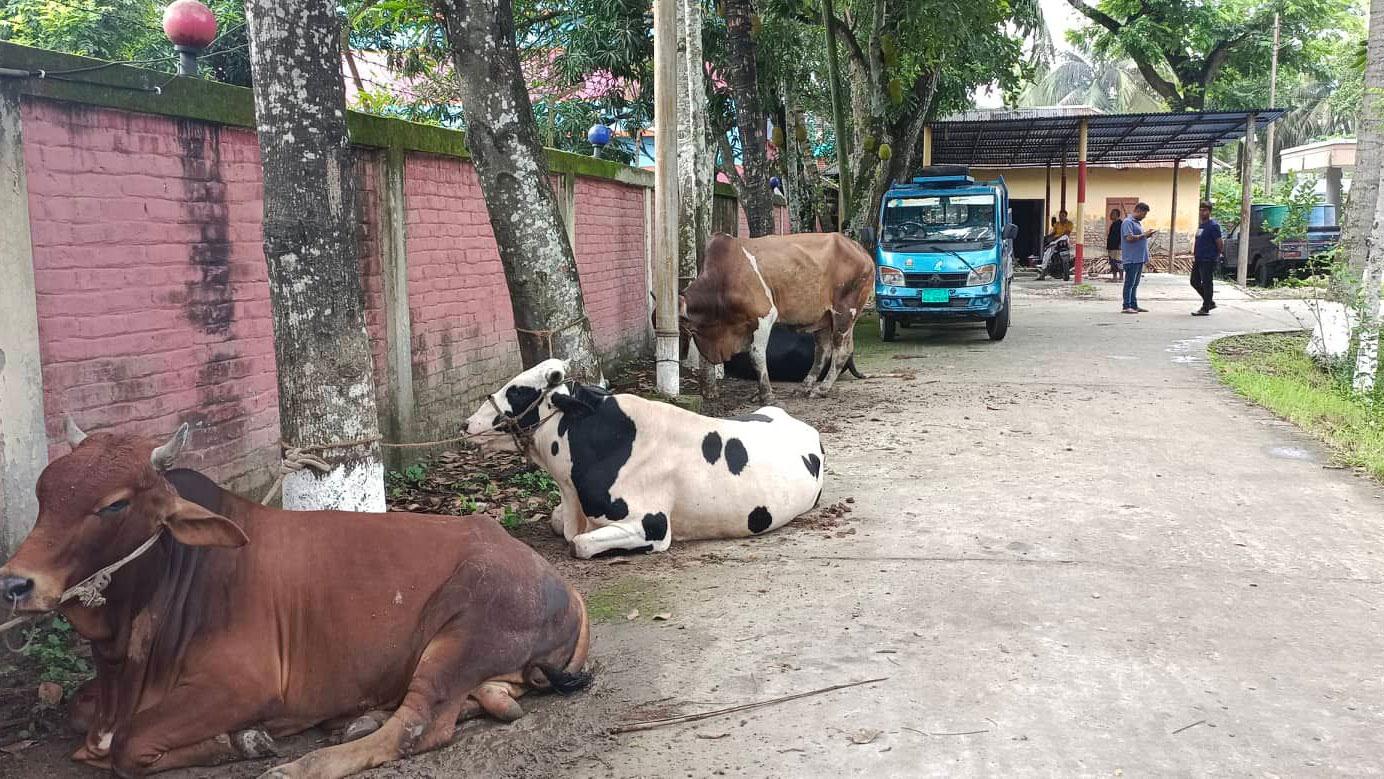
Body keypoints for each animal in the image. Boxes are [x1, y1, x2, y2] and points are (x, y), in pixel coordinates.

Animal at [0, 423, 589, 774]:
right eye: (44, 490)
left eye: (114, 505)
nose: (15, 583)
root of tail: (562, 585)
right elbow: (82, 718)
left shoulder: (243, 683)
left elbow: (126, 744)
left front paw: (243, 741)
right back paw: (362, 718)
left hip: (464, 635)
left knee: (417, 727)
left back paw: (306, 764)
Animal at [470, 359, 824, 561]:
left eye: (517, 391)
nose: (467, 423)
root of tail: (794, 420)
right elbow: (558, 522)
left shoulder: (651, 523)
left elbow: (579, 544)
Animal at [683, 229, 874, 401]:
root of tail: (860, 250)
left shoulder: (764, 316)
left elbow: (757, 356)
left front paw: (766, 394)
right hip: (824, 319)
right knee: (823, 351)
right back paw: (805, 387)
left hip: (844, 313)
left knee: (841, 351)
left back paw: (821, 389)